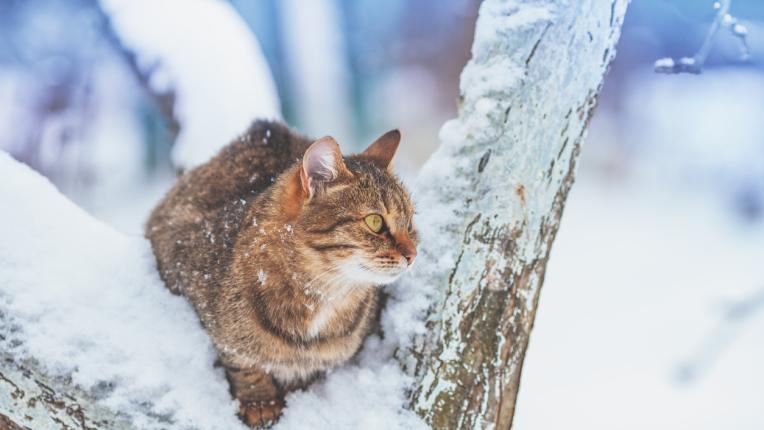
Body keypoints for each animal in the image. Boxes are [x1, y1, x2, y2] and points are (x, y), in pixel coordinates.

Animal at [143, 120, 418, 426]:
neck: (322, 294)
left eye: (410, 222)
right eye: (375, 222)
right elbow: (244, 363)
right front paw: (260, 402)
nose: (413, 254)